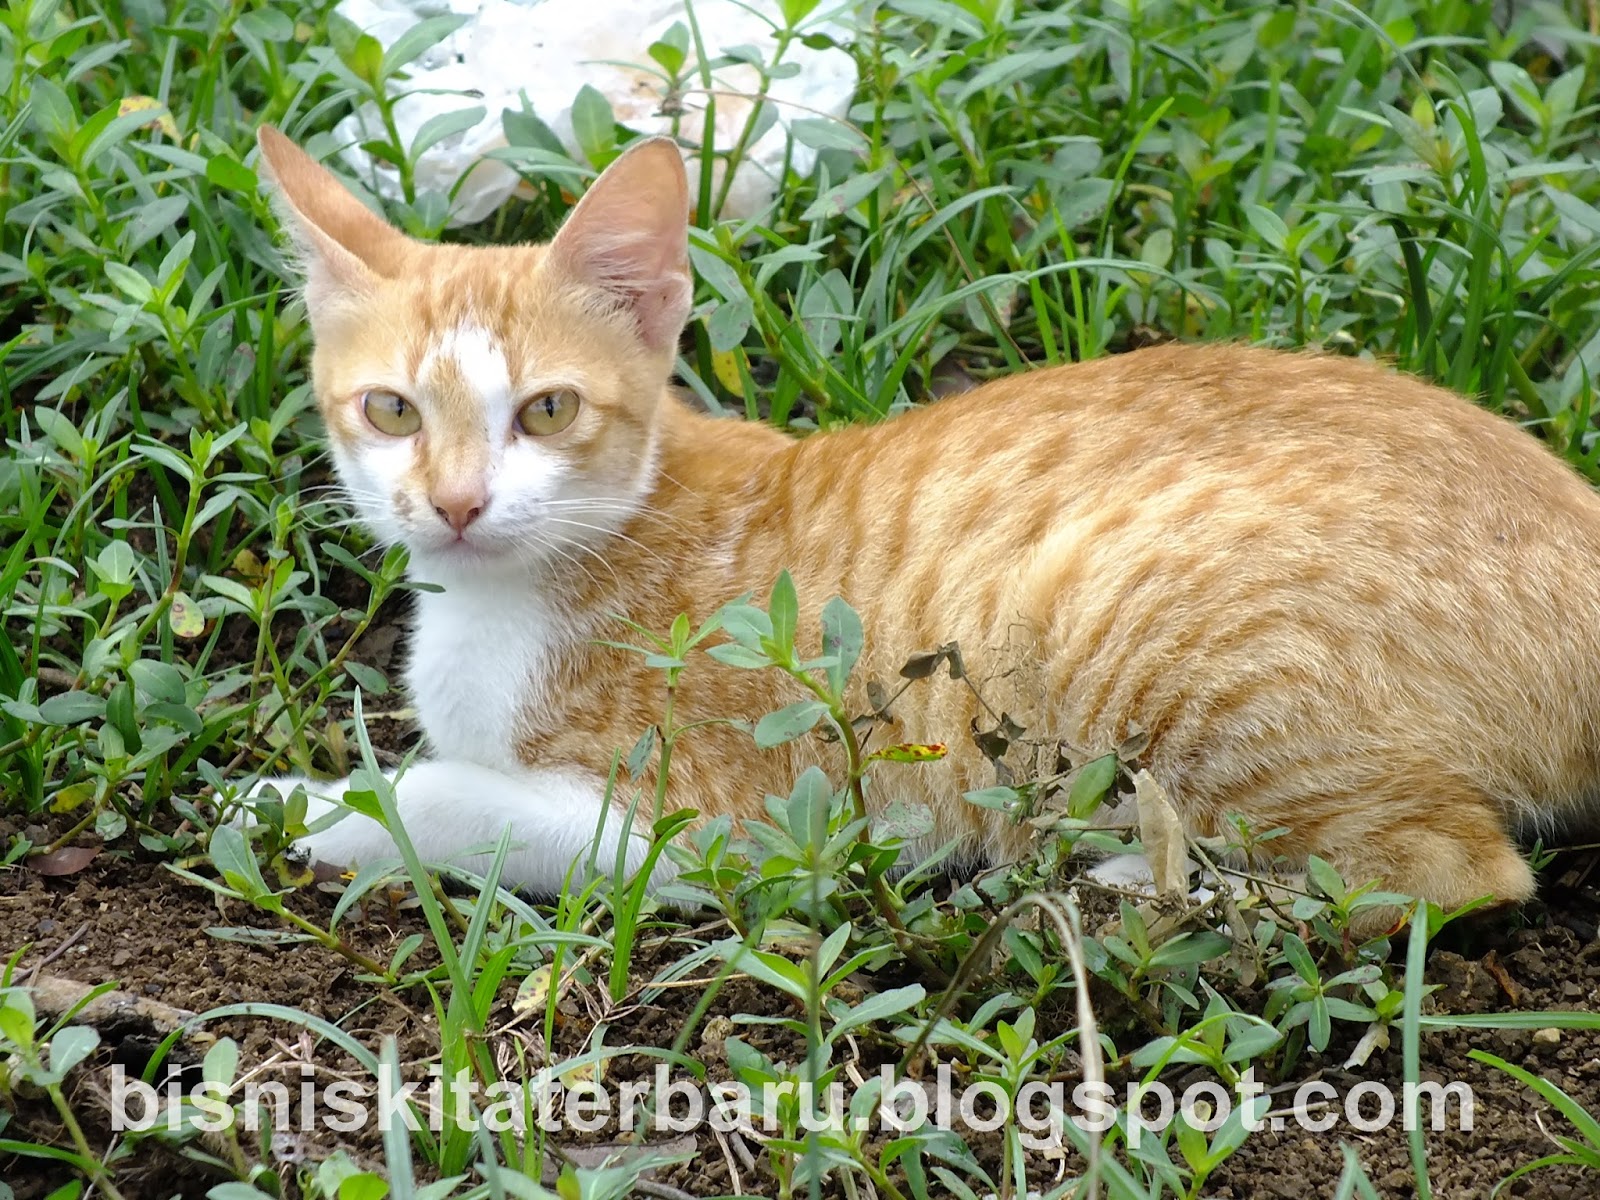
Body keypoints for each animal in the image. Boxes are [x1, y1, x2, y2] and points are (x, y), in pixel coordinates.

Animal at [240, 127, 1600, 921]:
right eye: (391, 409)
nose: (456, 503)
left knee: (1453, 873)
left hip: (1138, 626)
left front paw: (312, 807)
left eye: (547, 409)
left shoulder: (731, 829)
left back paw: (1146, 883)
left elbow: (451, 799)